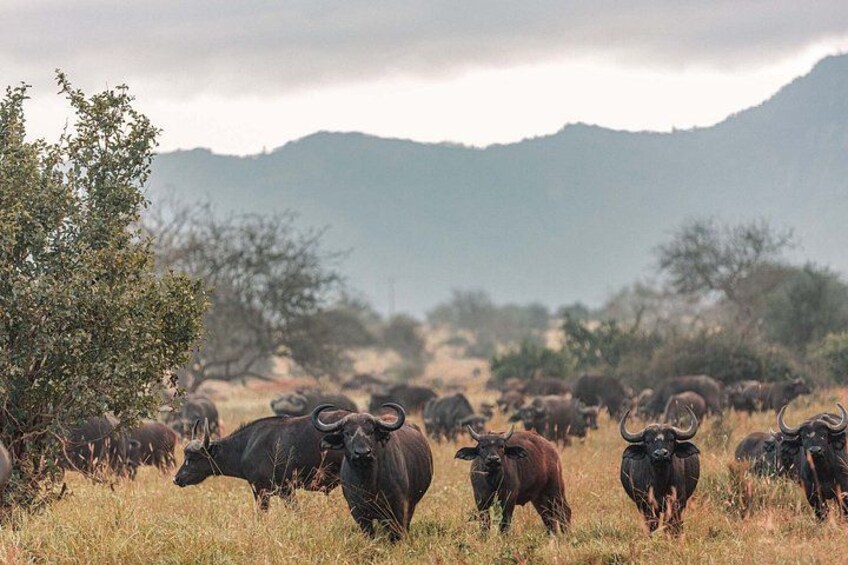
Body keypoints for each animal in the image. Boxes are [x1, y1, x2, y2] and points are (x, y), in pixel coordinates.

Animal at [312, 403, 433, 541]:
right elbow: (368, 532)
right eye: (347, 433)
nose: (363, 453)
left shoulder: (398, 506)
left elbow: (396, 533)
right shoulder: (357, 511)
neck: (368, 482)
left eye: (370, 432)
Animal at [619, 407, 700, 535]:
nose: (661, 454)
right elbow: (653, 525)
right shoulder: (646, 504)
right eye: (648, 441)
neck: (660, 480)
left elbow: (672, 525)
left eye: (671, 439)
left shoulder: (677, 502)